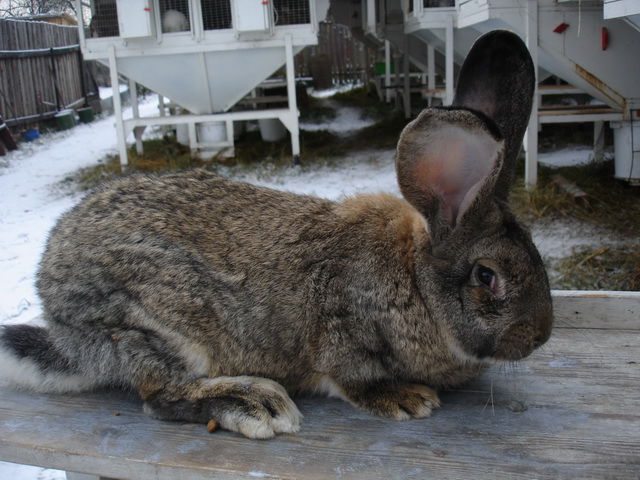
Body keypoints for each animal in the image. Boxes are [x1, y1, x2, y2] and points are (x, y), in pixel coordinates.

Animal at [0, 31, 552, 438]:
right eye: (487, 276)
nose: (540, 336)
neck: (414, 279)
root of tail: (60, 318)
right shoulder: (342, 334)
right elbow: (352, 377)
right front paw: (407, 400)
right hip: (150, 327)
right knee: (161, 397)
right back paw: (255, 403)